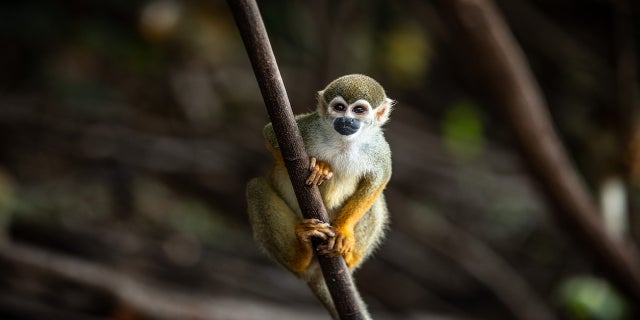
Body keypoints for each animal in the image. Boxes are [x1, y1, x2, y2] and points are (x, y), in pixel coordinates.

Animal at [246, 74, 392, 318]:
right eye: (340, 108)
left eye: (359, 110)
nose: (346, 121)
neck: (344, 142)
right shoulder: (309, 127)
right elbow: (269, 134)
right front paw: (320, 169)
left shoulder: (378, 149)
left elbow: (380, 178)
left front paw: (343, 231)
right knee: (256, 187)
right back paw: (301, 254)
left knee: (376, 202)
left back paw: (349, 259)